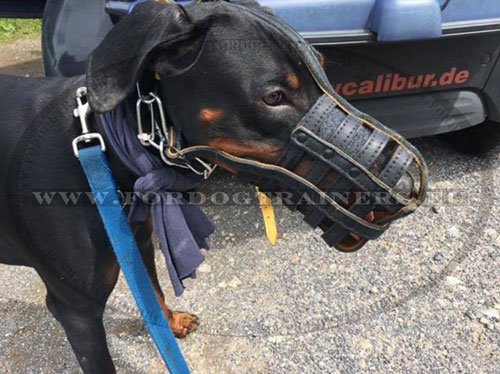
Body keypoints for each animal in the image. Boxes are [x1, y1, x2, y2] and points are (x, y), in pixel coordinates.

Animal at [0, 1, 324, 372]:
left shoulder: (138, 240)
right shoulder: (76, 310)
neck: (107, 152)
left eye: (323, 67)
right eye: (274, 97)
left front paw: (171, 322)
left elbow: (153, 291)